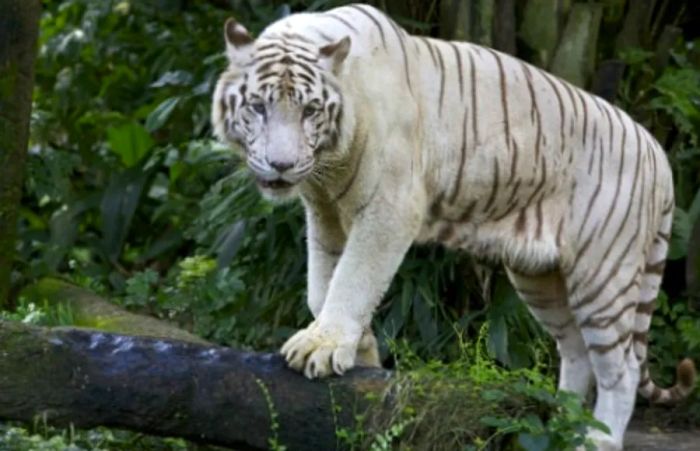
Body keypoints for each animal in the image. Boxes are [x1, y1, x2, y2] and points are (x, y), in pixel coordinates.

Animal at [212, 2, 696, 448]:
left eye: (311, 110)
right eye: (257, 106)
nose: (282, 165)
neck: (328, 165)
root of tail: (657, 150)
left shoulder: (389, 208)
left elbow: (353, 278)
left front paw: (324, 347)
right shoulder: (325, 214)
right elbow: (322, 286)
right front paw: (360, 350)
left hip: (604, 272)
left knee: (621, 367)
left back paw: (596, 437)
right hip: (539, 275)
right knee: (575, 349)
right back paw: (561, 421)